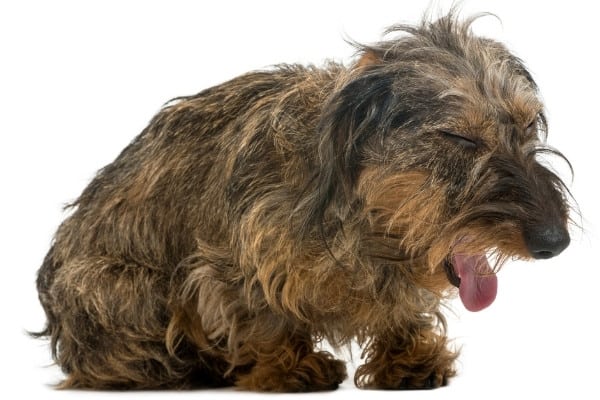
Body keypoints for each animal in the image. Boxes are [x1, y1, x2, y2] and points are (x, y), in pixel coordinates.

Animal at [34, 11, 572, 390]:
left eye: (528, 125)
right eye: (459, 138)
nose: (556, 241)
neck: (365, 229)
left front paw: (409, 355)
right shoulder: (229, 259)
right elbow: (260, 312)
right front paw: (288, 367)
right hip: (114, 284)